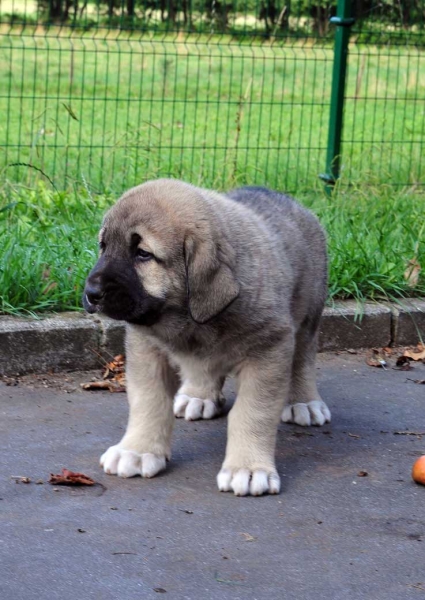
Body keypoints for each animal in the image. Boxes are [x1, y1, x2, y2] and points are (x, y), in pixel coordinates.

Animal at [83, 179, 328, 496]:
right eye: (103, 246)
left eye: (143, 254)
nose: (91, 293)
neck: (191, 316)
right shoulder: (146, 348)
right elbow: (148, 402)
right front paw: (137, 450)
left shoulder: (269, 349)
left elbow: (253, 413)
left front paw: (248, 468)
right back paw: (198, 396)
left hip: (308, 315)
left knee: (302, 359)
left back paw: (304, 402)